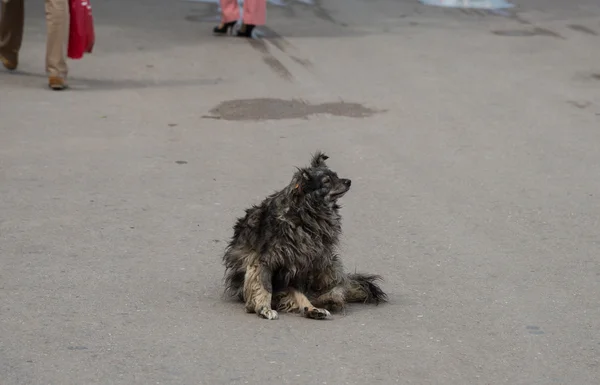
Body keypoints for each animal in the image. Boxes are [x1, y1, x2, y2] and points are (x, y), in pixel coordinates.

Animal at [223, 152, 386, 320]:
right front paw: (263, 308)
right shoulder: (264, 260)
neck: (306, 214)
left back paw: (323, 303)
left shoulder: (298, 264)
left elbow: (299, 292)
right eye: (327, 181)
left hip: (328, 262)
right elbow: (264, 286)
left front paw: (310, 308)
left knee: (333, 288)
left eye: (336, 176)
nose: (348, 181)